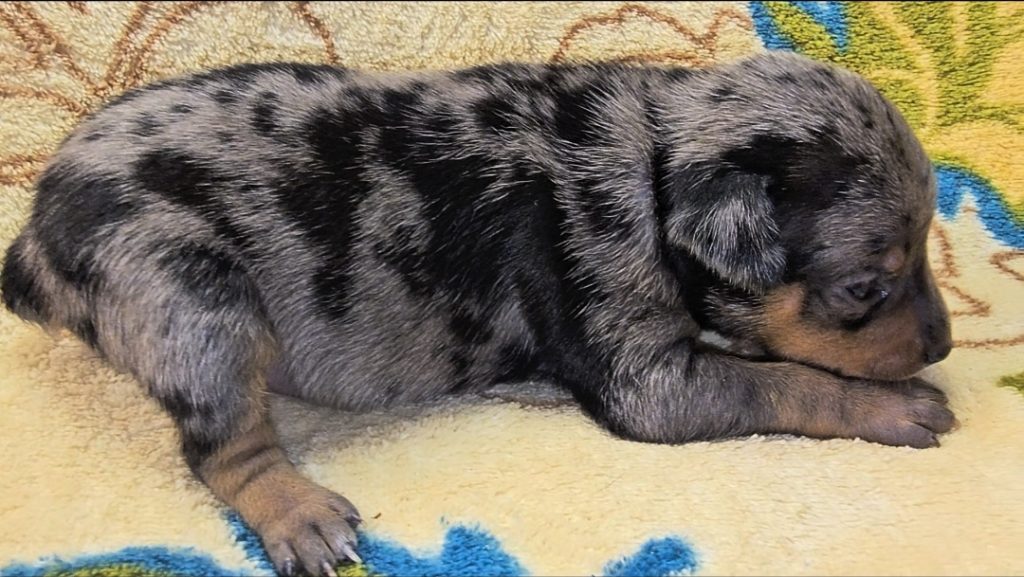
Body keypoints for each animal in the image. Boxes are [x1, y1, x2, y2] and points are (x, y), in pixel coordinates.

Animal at [1, 51, 954, 576]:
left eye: (930, 245)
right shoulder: (648, 378)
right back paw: (296, 511)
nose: (945, 343)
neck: (653, 171)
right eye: (865, 287)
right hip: (191, 297)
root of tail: (36, 235)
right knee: (219, 449)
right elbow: (786, 380)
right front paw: (895, 406)